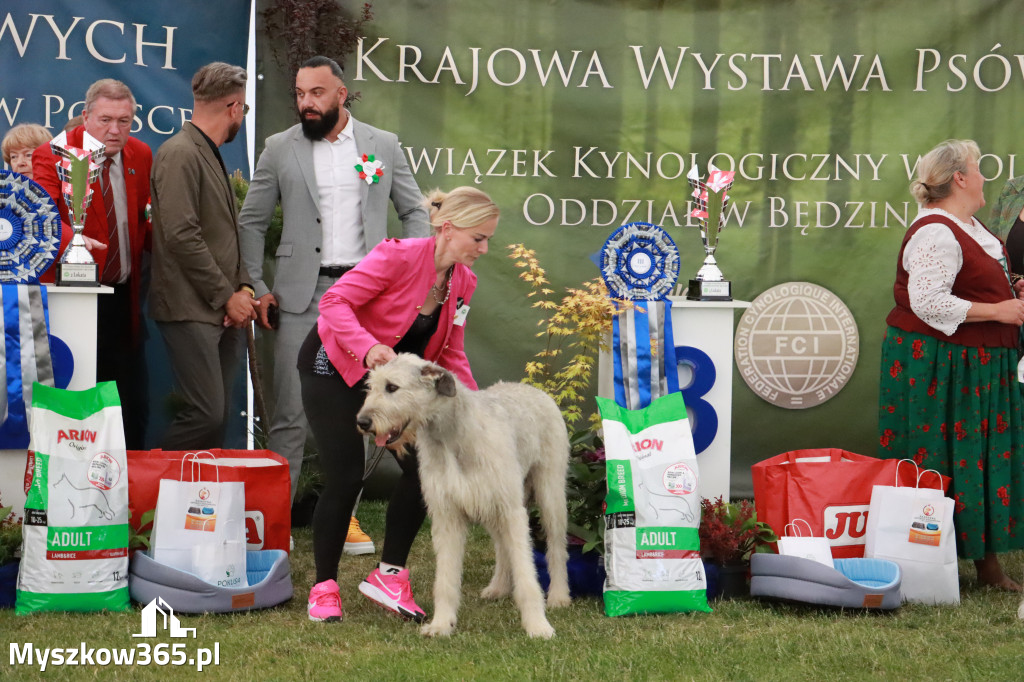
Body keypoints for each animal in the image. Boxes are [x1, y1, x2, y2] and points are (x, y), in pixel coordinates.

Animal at [356, 352, 573, 634]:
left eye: (392, 387)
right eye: (370, 387)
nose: (362, 422)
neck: (450, 435)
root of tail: (535, 389)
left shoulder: (512, 510)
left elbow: (527, 573)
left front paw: (537, 625)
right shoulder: (447, 515)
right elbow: (445, 578)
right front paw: (441, 624)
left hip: (550, 494)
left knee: (556, 546)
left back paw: (559, 595)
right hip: (491, 507)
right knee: (502, 546)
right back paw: (498, 587)